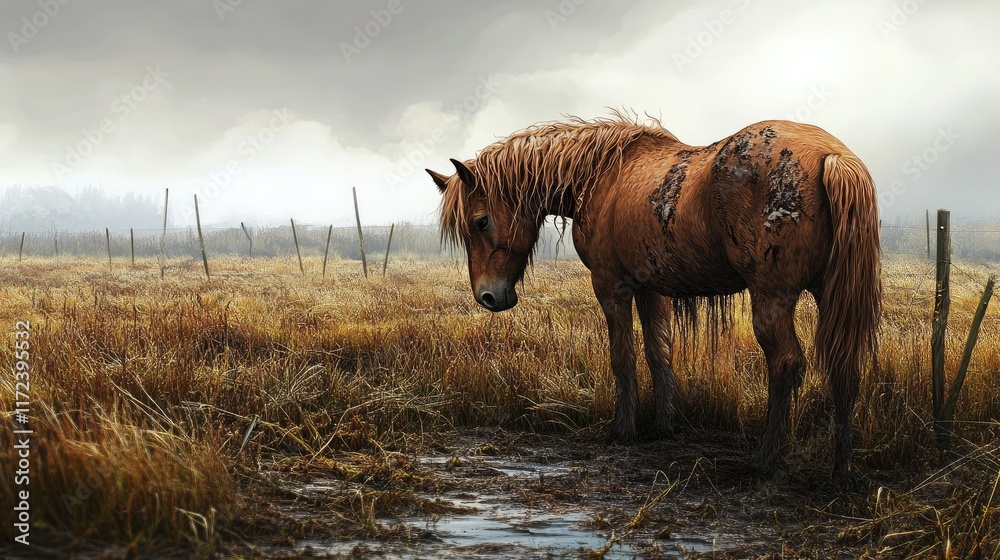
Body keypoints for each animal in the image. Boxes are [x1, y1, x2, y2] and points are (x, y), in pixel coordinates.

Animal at [426, 113, 881, 480]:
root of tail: (831, 156)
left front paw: (622, 431)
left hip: (772, 297)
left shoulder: (612, 286)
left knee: (785, 364)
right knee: (844, 363)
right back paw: (841, 467)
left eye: (481, 222)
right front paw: (663, 426)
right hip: (830, 294)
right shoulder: (651, 290)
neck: (602, 175)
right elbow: (658, 352)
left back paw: (765, 460)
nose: (488, 297)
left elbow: (623, 357)